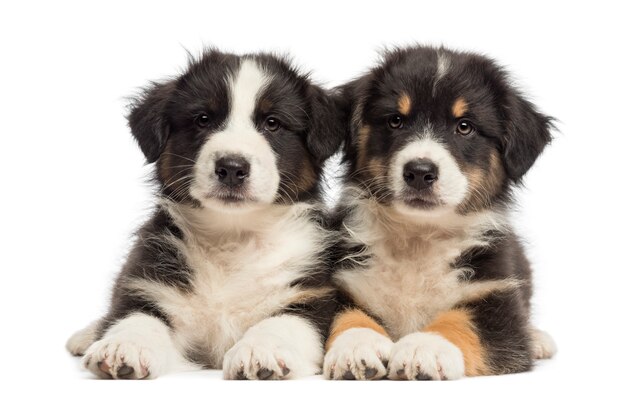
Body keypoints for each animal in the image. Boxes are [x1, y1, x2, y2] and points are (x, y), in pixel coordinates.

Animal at [64, 48, 342, 378]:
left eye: (272, 123)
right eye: (203, 119)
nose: (232, 167)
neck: (232, 236)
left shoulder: (312, 294)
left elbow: (284, 322)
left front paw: (261, 350)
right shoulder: (147, 280)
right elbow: (137, 317)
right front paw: (124, 346)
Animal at [324, 44, 552, 378]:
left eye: (464, 126)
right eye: (396, 120)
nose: (419, 172)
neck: (418, 237)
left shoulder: (496, 297)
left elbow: (461, 322)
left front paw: (424, 347)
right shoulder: (343, 281)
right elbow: (347, 314)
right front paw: (356, 347)